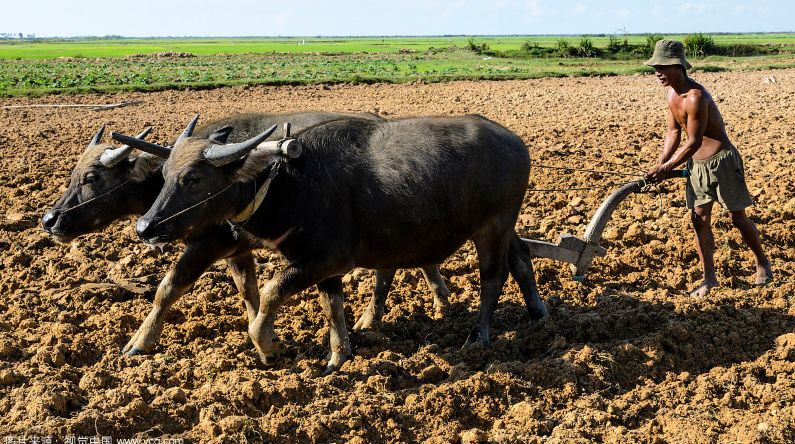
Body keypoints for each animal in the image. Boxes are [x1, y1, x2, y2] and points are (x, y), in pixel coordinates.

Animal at [42, 112, 454, 358]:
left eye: (92, 177)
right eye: (73, 172)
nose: (49, 219)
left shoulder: (208, 245)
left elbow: (168, 288)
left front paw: (138, 343)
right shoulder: (237, 251)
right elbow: (248, 292)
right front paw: (264, 335)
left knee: (394, 266)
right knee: (404, 262)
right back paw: (431, 301)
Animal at [115, 114, 552, 372]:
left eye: (193, 178)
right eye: (164, 175)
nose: (145, 227)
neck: (290, 183)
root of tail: (515, 141)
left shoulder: (321, 260)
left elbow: (270, 294)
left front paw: (268, 346)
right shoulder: (323, 267)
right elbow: (331, 307)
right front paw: (339, 355)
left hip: (493, 228)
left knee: (492, 278)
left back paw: (479, 337)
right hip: (504, 228)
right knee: (521, 258)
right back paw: (539, 315)